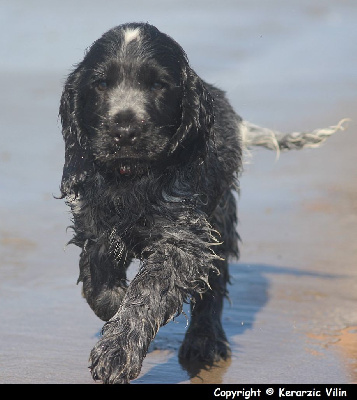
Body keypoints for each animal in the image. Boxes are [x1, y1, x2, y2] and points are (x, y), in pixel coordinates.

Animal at [59, 22, 346, 384]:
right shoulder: (94, 224)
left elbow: (147, 293)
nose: (124, 131)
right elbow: (98, 279)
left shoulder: (184, 241)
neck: (130, 178)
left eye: (158, 85)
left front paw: (117, 351)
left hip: (219, 221)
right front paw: (113, 305)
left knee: (214, 286)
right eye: (100, 84)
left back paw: (205, 341)